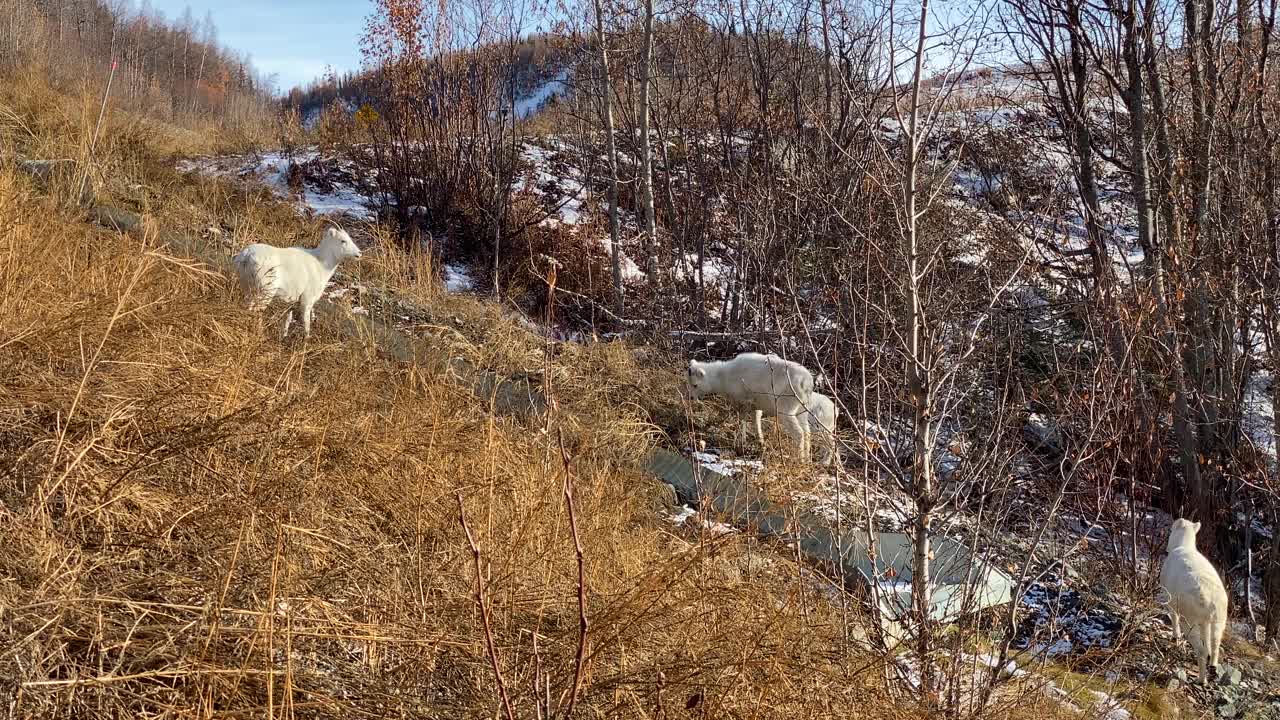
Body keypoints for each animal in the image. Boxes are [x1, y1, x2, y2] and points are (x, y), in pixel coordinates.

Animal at [686, 348, 814, 458]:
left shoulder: (744, 402)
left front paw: (741, 443)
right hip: (802, 411)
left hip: (786, 410)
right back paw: (807, 459)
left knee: (799, 433)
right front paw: (760, 442)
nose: (690, 397)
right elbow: (756, 422)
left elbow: (742, 421)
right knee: (807, 432)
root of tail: (806, 382)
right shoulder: (755, 406)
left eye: (695, 385)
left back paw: (799, 459)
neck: (723, 377)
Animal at [1162, 515, 1228, 676]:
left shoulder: (1170, 601)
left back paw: (1202, 679)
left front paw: (1175, 637)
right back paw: (1212, 667)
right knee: (1215, 644)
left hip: (1190, 621)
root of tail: (1210, 603)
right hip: (1218, 620)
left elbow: (1173, 618)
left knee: (1201, 650)